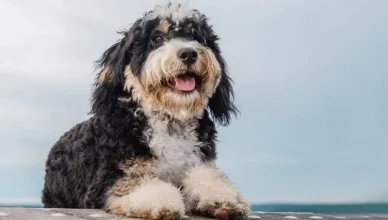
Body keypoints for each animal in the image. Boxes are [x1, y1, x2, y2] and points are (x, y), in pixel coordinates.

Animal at [41, 2, 249, 220]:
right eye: (157, 38)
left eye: (197, 38)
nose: (189, 53)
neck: (169, 119)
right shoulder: (109, 178)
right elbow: (137, 184)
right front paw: (162, 201)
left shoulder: (198, 163)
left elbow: (208, 177)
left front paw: (221, 197)